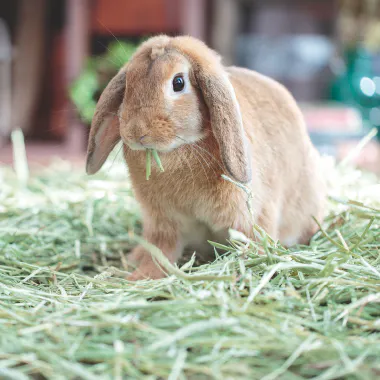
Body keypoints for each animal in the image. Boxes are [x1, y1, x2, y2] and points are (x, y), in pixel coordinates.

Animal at [86, 35, 326, 280]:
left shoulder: (250, 217)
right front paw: (142, 277)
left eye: (178, 82)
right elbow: (161, 252)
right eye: (128, 84)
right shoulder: (163, 223)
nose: (136, 132)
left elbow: (252, 243)